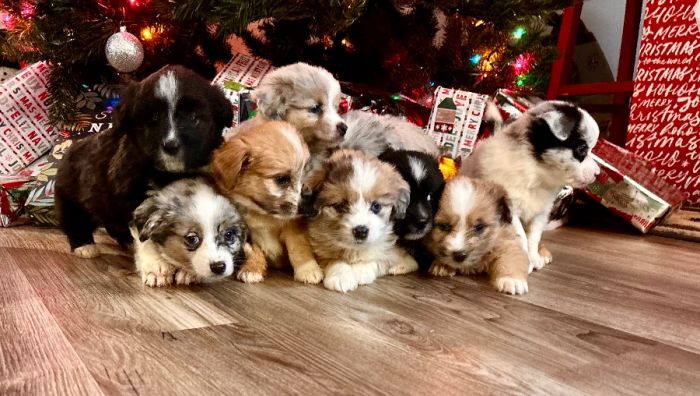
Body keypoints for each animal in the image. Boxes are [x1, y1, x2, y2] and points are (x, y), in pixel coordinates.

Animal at [55, 65, 232, 256]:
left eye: (194, 118)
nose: (170, 145)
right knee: (75, 220)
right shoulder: (133, 198)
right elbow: (146, 237)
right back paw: (84, 246)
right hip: (71, 198)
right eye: (154, 118)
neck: (169, 173)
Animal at [209, 120, 322, 284]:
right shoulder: (247, 233)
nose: (307, 205)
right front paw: (252, 269)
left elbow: (299, 247)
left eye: (304, 174)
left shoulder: (294, 226)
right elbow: (253, 250)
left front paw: (308, 270)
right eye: (282, 179)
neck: (263, 213)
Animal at [460, 100, 600, 272]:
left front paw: (534, 258)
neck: (537, 171)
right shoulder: (510, 211)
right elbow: (521, 236)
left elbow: (533, 238)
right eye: (581, 149)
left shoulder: (540, 213)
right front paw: (525, 261)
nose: (598, 173)